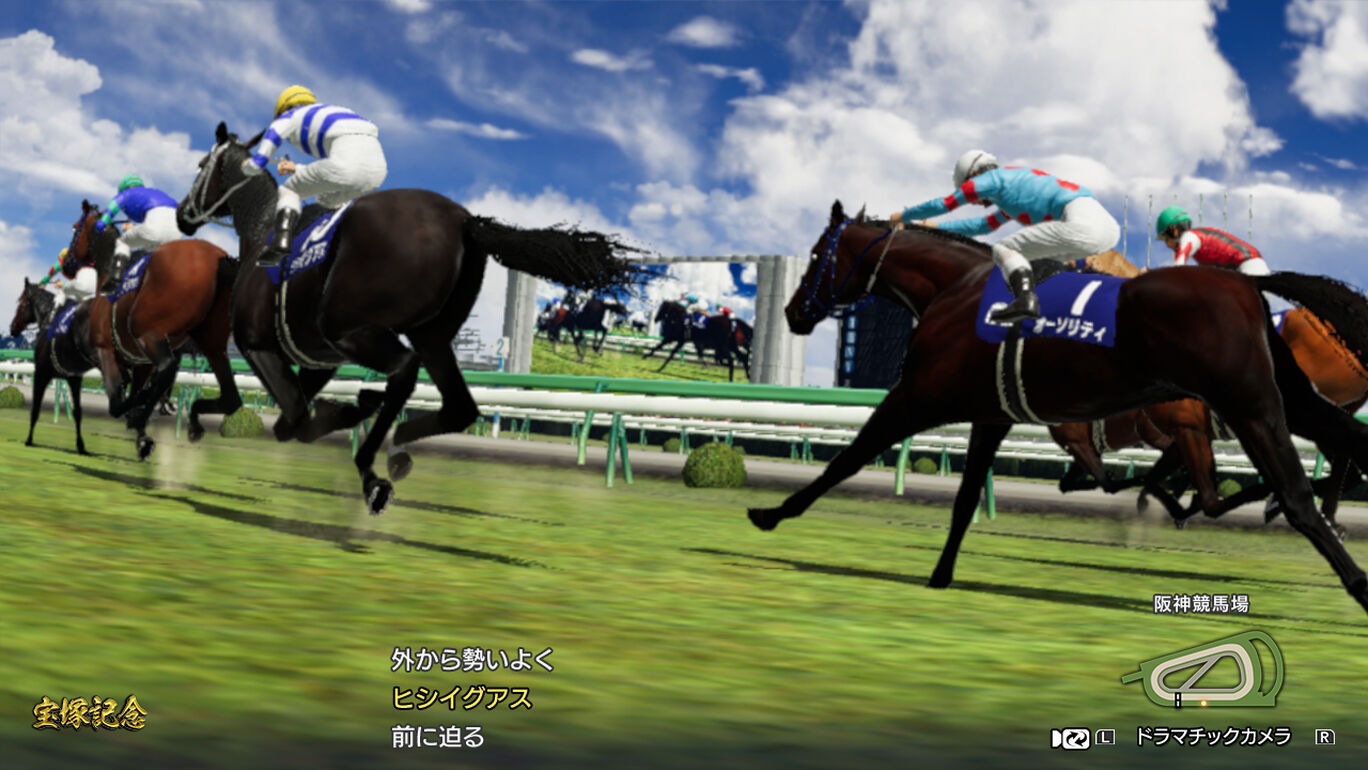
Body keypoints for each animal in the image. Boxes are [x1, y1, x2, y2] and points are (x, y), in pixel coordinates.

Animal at [68, 201, 243, 455]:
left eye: (75, 228)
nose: (67, 265)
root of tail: (218, 257)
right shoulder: (141, 362)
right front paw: (142, 431)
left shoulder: (105, 350)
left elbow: (117, 404)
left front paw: (139, 417)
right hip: (212, 343)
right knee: (231, 398)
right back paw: (190, 421)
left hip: (148, 332)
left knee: (167, 369)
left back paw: (151, 413)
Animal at [175, 122, 641, 514]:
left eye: (200, 166)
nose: (182, 214)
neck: (259, 241)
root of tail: (465, 220)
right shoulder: (319, 361)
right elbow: (293, 424)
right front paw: (351, 407)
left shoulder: (259, 345)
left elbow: (298, 418)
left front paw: (351, 409)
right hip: (430, 335)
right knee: (459, 407)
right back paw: (397, 442)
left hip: (348, 327)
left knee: (403, 372)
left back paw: (372, 466)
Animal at [748, 200, 1368, 616]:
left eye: (816, 255)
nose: (794, 312)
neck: (956, 289)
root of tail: (1248, 289)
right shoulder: (992, 414)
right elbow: (966, 499)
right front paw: (941, 575)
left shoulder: (917, 395)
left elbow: (848, 458)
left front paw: (771, 514)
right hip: (1286, 398)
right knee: (1345, 447)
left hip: (1249, 403)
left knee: (1299, 495)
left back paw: (1350, 578)